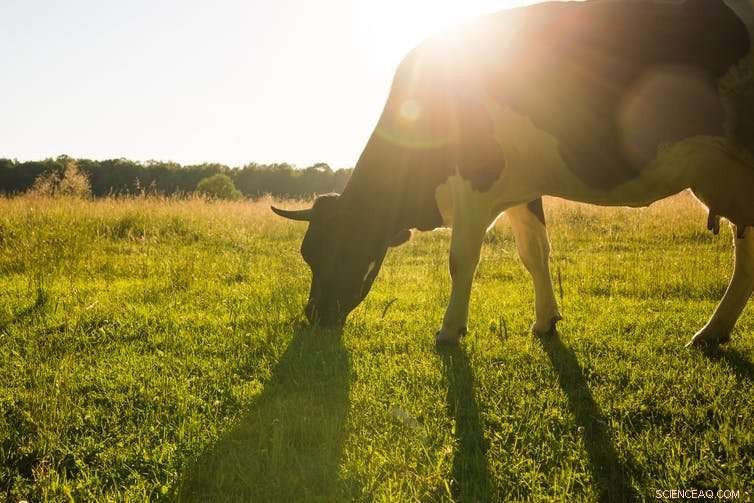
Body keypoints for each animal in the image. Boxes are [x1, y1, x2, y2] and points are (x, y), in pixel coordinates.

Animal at [272, 0, 754, 348]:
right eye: (308, 254)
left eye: (343, 249)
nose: (314, 316)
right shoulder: (524, 188)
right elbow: (534, 252)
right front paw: (545, 321)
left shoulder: (475, 180)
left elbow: (461, 259)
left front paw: (450, 330)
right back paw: (713, 333)